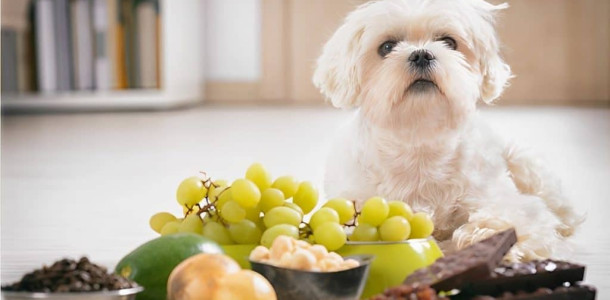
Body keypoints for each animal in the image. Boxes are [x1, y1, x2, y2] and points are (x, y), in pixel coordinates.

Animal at [314, 0, 580, 262]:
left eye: (449, 42)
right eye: (387, 46)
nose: (421, 54)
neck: (420, 138)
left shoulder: (504, 200)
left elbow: (511, 218)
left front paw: (487, 236)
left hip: (524, 164)